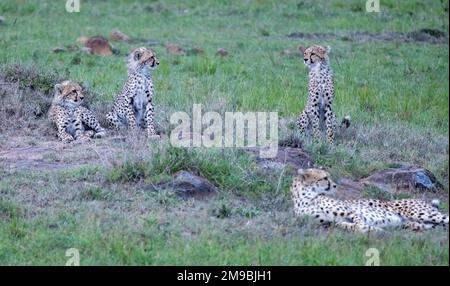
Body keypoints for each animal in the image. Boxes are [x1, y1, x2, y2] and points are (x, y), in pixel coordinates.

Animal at [290, 168, 448, 232]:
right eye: (324, 178)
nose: (334, 185)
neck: (307, 198)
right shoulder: (329, 222)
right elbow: (344, 225)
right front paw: (372, 229)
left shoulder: (350, 211)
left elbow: (358, 222)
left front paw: (369, 228)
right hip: (420, 223)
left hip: (420, 213)